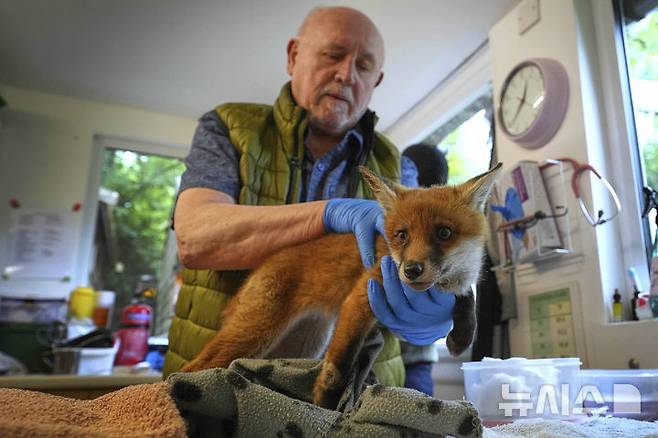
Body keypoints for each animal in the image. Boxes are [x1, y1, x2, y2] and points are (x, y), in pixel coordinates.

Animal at [182, 163, 502, 409]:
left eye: (444, 233)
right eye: (401, 235)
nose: (410, 271)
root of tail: (263, 264)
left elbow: (468, 299)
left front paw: (462, 335)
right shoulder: (360, 299)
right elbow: (337, 368)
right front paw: (325, 404)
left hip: (304, 343)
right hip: (257, 332)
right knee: (196, 366)